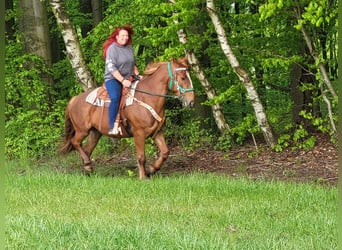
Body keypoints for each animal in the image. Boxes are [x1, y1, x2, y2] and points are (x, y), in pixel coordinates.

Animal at [57, 55, 194, 179]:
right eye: (182, 77)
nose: (191, 101)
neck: (148, 98)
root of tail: (74, 99)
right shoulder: (139, 133)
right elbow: (141, 156)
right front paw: (143, 177)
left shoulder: (157, 132)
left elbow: (165, 152)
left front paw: (151, 169)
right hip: (82, 130)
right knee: (75, 142)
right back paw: (87, 165)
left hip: (95, 133)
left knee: (86, 149)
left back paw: (88, 169)